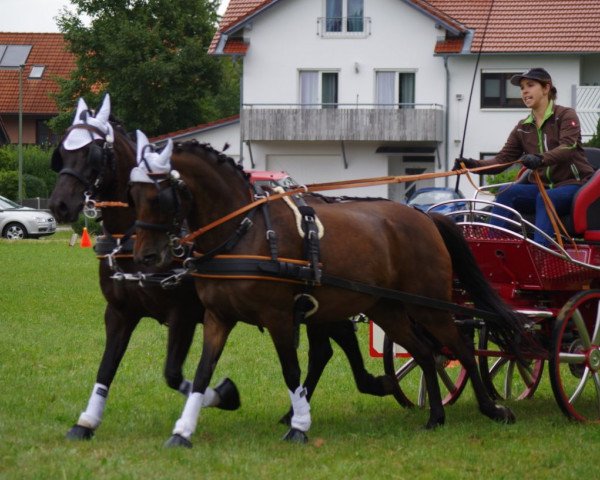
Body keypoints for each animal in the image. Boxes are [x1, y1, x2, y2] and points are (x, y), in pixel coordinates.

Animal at [127, 138, 528, 446]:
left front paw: (299, 426)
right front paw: (182, 432)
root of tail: (424, 215)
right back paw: (436, 417)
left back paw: (492, 409)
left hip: (430, 307)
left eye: (160, 196)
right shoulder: (218, 318)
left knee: (460, 349)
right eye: (133, 196)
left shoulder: (279, 317)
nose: (145, 256)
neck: (244, 232)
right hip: (389, 309)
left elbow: (291, 370)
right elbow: (202, 371)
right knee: (426, 353)